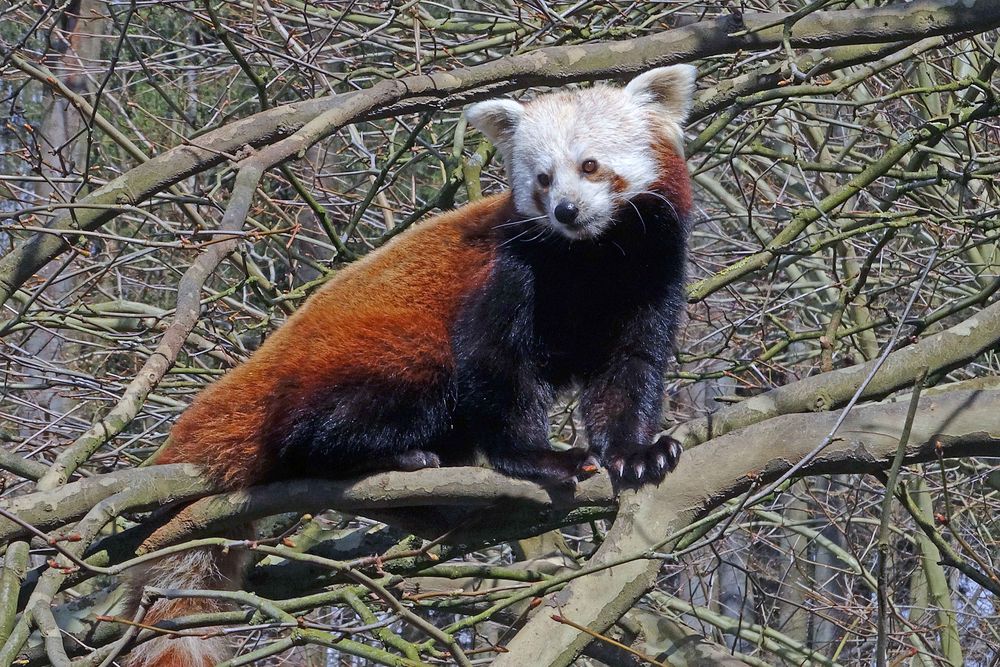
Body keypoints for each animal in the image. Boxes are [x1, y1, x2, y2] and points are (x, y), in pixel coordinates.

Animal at [123, 64, 696, 667]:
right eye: (542, 179)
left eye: (589, 166)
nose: (565, 210)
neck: (594, 257)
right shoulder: (509, 272)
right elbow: (496, 366)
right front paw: (539, 460)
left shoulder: (650, 278)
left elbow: (630, 370)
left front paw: (637, 453)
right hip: (381, 353)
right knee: (342, 417)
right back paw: (389, 456)